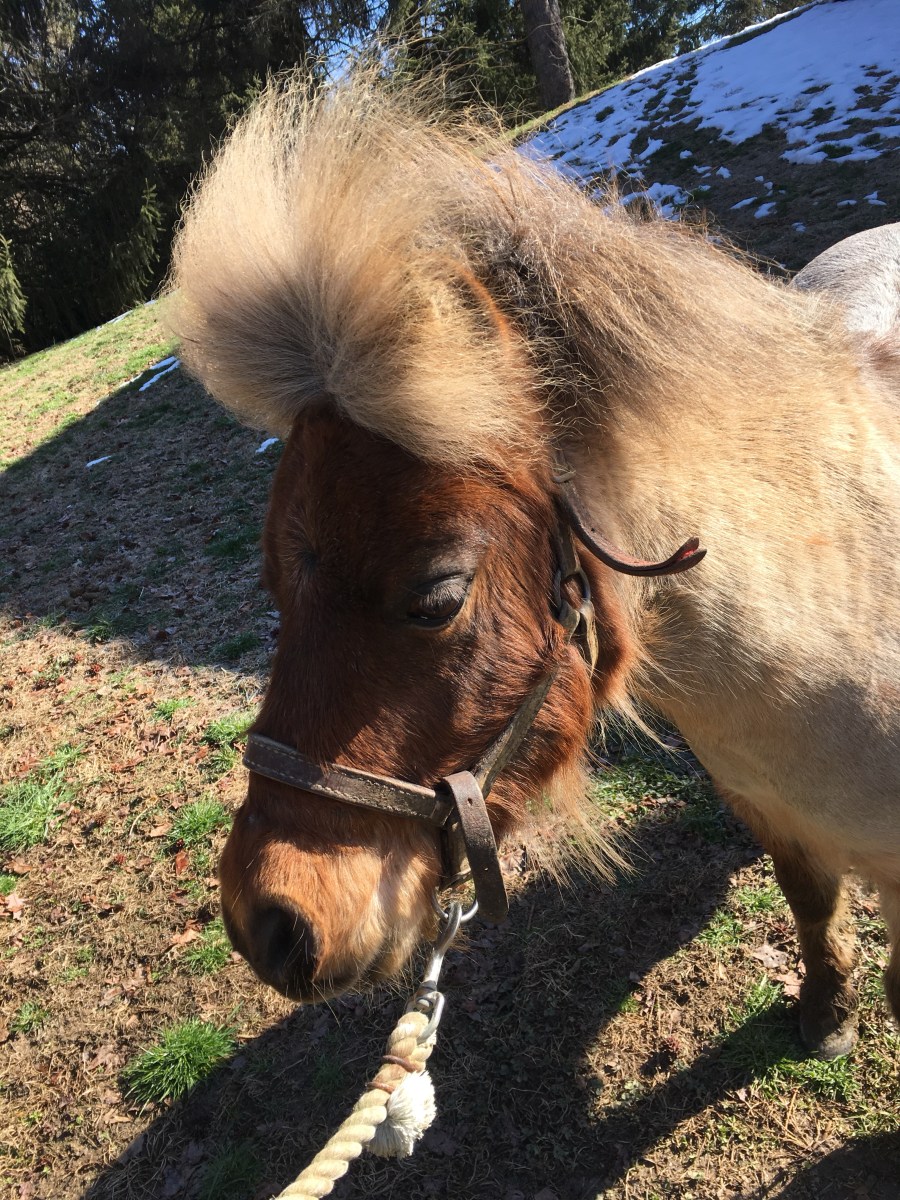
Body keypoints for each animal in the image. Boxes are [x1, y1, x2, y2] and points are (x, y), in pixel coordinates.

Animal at [168, 74, 900, 1062]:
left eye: (436, 597)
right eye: (276, 593)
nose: (270, 926)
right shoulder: (775, 812)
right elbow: (811, 900)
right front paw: (826, 1009)